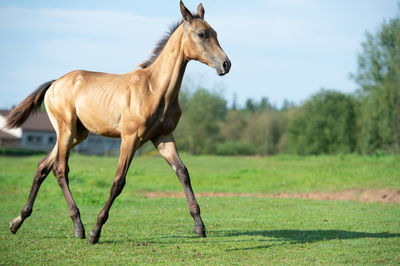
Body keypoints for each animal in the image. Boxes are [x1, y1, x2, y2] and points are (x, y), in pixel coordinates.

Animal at [4, 1, 231, 244]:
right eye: (201, 34)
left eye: (215, 33)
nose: (226, 64)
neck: (155, 89)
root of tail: (55, 82)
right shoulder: (130, 138)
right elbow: (118, 181)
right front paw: (96, 231)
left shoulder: (163, 137)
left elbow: (183, 172)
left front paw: (199, 225)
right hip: (66, 130)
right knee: (60, 169)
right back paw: (79, 227)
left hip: (78, 134)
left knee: (43, 166)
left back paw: (17, 221)